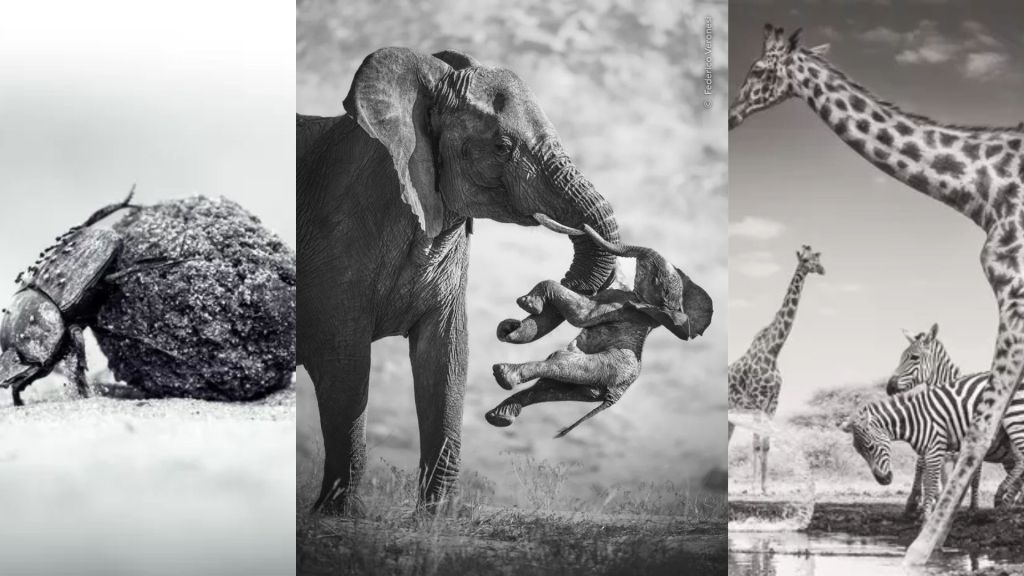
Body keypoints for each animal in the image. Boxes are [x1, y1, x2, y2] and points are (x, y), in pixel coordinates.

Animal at [297, 48, 623, 514]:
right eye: (502, 147)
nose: (514, 318)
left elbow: (446, 357)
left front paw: (436, 518)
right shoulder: (334, 245)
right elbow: (345, 364)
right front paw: (337, 516)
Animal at [487, 221, 713, 438]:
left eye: (655, 278)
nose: (583, 226)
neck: (667, 309)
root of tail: (615, 396)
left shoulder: (618, 304)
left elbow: (580, 314)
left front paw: (528, 304)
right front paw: (508, 327)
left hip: (605, 368)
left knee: (559, 363)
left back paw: (503, 375)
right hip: (591, 387)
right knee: (549, 388)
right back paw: (499, 416)